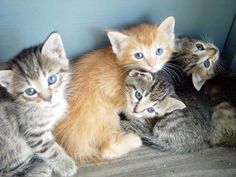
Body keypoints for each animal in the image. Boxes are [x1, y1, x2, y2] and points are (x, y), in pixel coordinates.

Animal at [0, 33, 77, 177]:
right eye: (30, 91)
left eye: (52, 79)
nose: (49, 98)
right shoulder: (33, 132)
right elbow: (48, 148)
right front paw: (66, 165)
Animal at [53, 15, 175, 162]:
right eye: (138, 55)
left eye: (159, 51)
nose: (152, 66)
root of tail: (74, 147)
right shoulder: (122, 95)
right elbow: (131, 108)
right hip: (108, 116)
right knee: (106, 149)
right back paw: (134, 140)